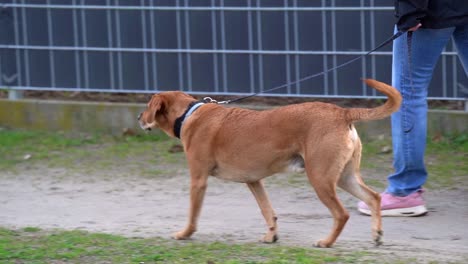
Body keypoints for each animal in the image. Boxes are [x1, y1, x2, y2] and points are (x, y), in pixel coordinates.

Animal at [138, 79, 402, 248]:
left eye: (148, 105)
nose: (139, 117)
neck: (188, 114)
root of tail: (341, 113)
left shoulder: (198, 180)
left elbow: (193, 215)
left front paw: (184, 234)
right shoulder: (254, 181)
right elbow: (268, 211)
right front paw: (271, 237)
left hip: (320, 178)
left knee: (342, 214)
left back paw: (327, 242)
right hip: (344, 177)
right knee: (373, 197)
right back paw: (377, 234)